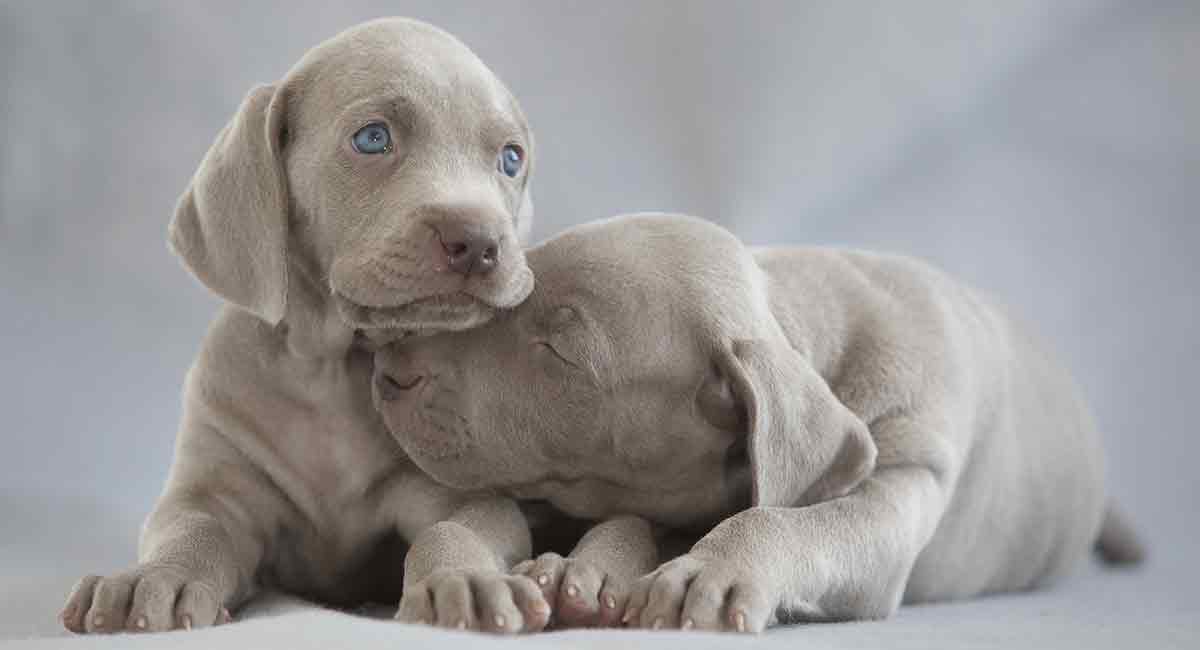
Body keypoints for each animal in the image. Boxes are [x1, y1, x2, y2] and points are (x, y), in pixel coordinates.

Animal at [58, 19, 554, 638]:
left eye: (510, 160)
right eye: (373, 138)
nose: (481, 242)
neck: (330, 371)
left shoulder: (468, 494)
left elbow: (454, 529)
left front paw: (464, 581)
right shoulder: (213, 487)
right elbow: (194, 530)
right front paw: (156, 578)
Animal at [372, 213, 1142, 638]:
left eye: (559, 350)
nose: (387, 366)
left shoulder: (907, 473)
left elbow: (786, 519)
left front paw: (708, 570)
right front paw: (569, 570)